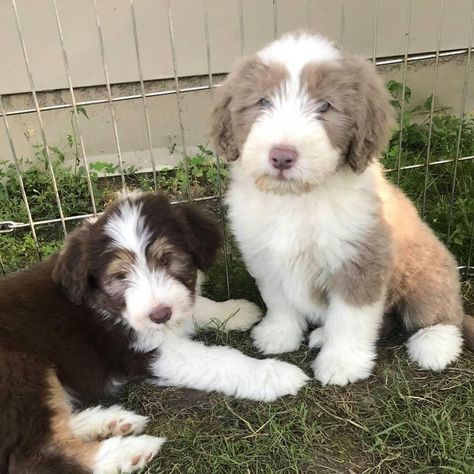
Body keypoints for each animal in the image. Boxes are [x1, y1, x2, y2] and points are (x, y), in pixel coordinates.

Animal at [0, 192, 308, 474]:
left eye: (167, 259)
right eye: (120, 276)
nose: (160, 314)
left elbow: (194, 305)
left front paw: (235, 311)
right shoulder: (143, 350)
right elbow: (220, 360)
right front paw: (273, 375)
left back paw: (109, 422)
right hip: (22, 371)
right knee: (35, 455)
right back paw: (128, 452)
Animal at [211, 34, 474, 388]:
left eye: (324, 106)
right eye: (262, 101)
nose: (282, 156)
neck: (298, 199)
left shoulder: (360, 261)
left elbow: (350, 319)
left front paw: (341, 364)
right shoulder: (265, 255)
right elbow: (278, 299)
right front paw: (279, 335)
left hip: (428, 271)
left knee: (439, 314)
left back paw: (434, 346)